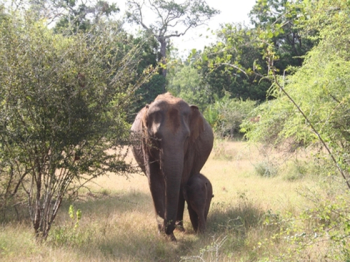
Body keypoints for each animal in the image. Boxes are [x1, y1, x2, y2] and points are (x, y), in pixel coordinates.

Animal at [131, 92, 213, 242]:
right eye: (156, 137)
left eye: (187, 137)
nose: (168, 229)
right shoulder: (145, 143)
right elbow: (155, 182)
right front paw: (163, 236)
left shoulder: (190, 148)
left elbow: (181, 181)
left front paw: (174, 233)